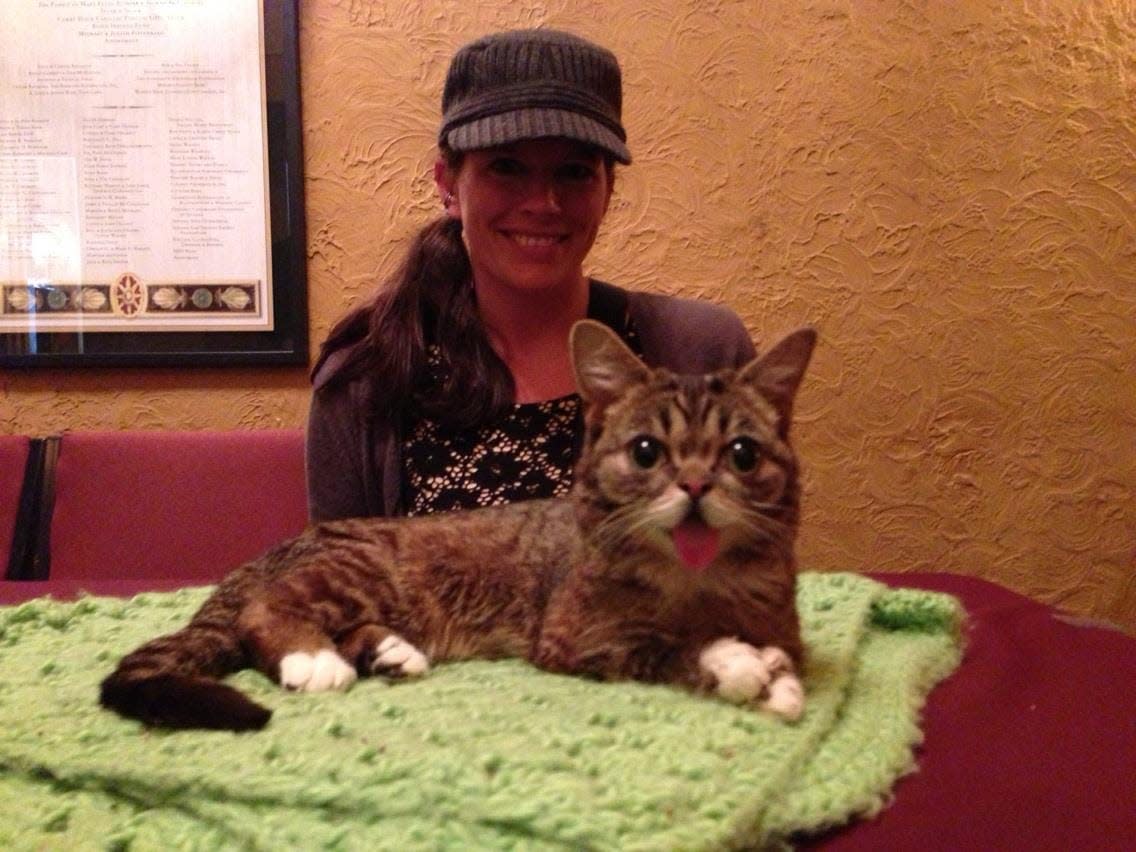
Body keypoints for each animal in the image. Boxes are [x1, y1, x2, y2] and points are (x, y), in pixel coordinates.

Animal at [95, 320, 808, 736]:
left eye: (742, 454)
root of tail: (277, 551)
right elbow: (660, 645)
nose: (696, 486)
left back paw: (389, 651)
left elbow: (780, 651)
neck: (700, 579)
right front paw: (732, 660)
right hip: (355, 573)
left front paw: (774, 674)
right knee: (267, 611)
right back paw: (314, 658)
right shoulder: (574, 637)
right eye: (646, 452)